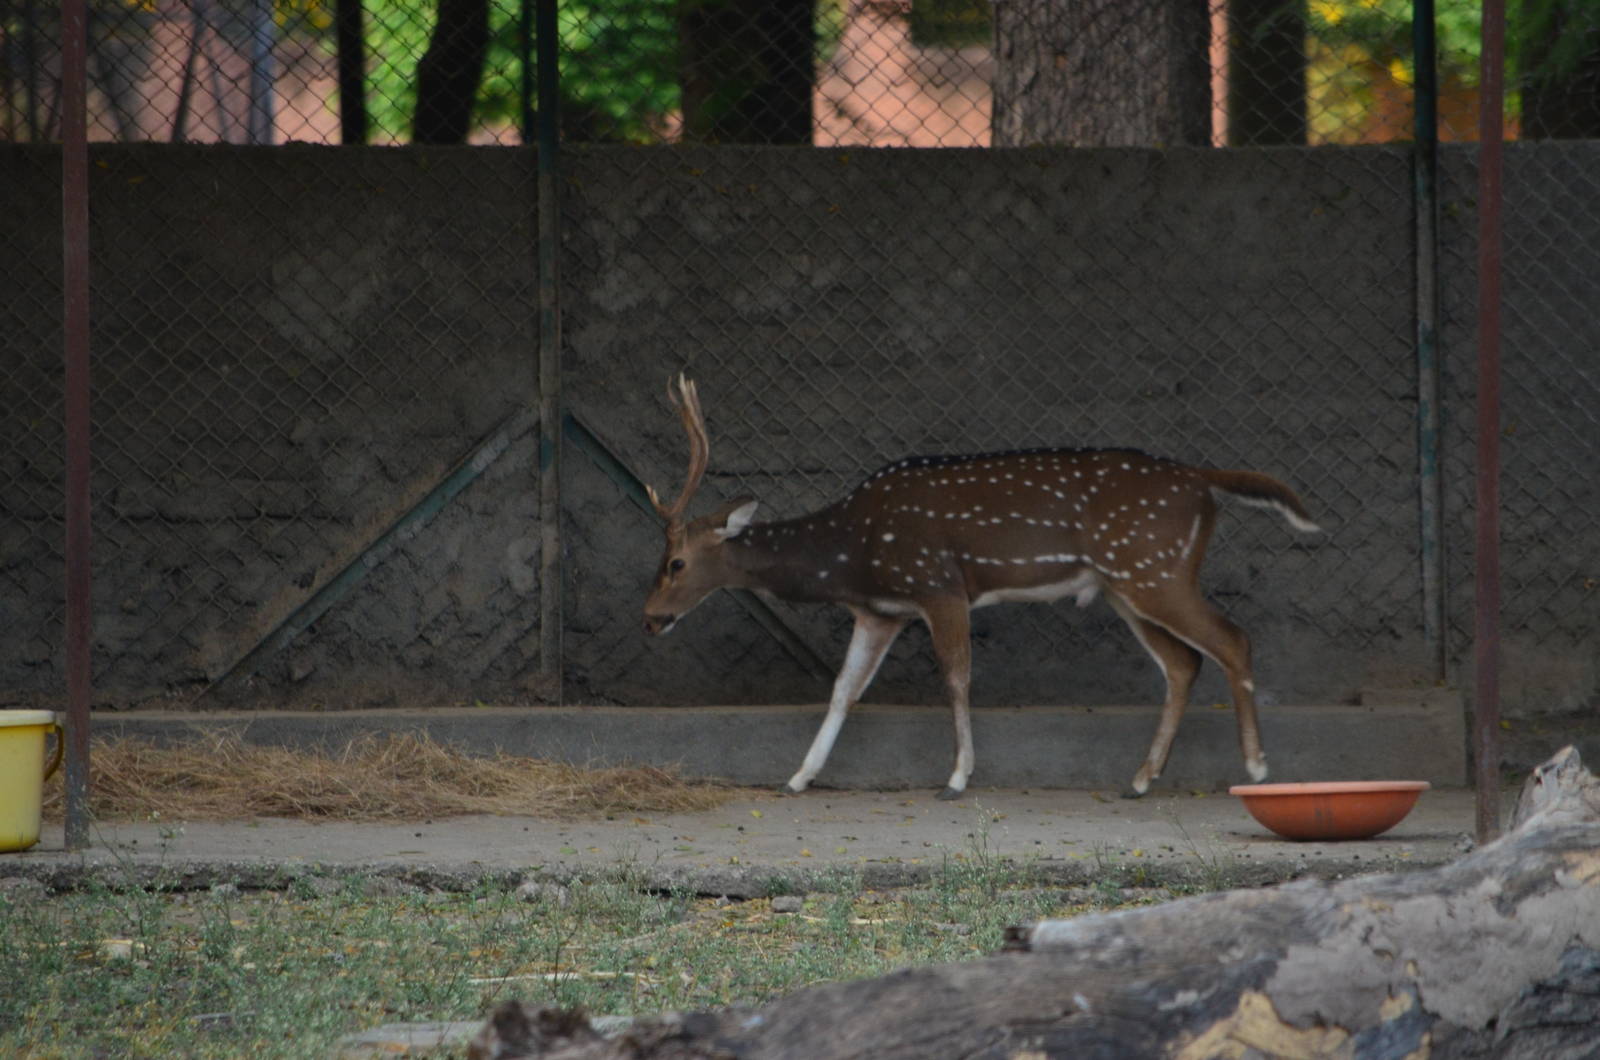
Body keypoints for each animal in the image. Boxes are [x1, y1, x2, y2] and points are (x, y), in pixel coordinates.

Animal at [641, 376, 1321, 800]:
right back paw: (1138, 780)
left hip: (1155, 571)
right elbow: (843, 690)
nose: (649, 617)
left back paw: (1257, 766)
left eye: (674, 562)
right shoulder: (881, 609)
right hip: (1126, 585)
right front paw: (798, 778)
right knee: (1182, 663)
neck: (852, 552)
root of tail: (1204, 482)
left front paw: (957, 779)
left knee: (1232, 640)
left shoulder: (939, 585)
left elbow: (957, 679)